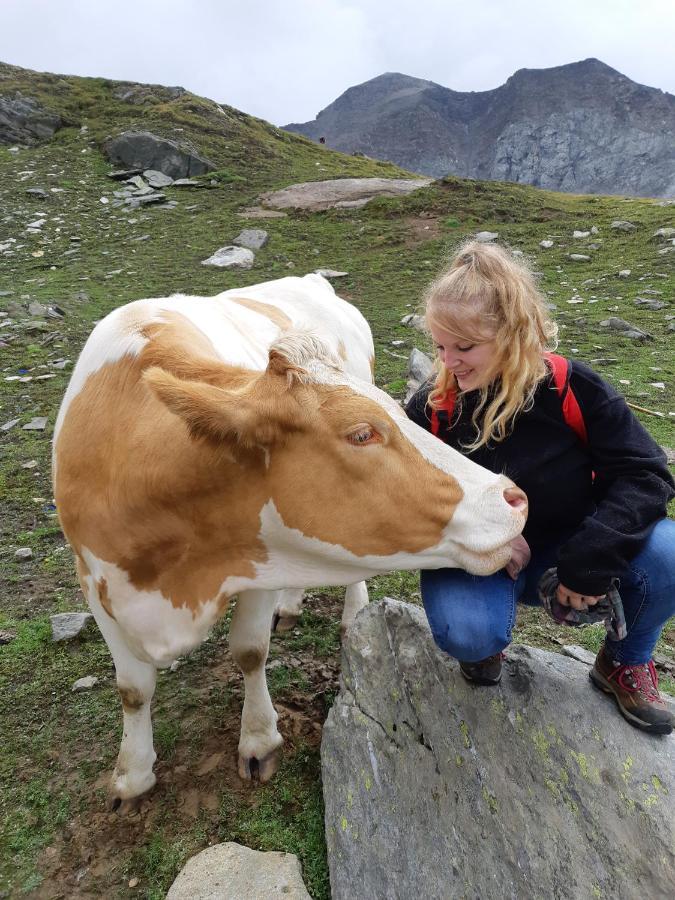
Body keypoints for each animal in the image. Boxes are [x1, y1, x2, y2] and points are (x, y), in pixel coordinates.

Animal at [52, 270, 528, 804]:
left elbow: (249, 651)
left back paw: (351, 611)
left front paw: (258, 740)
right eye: (362, 434)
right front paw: (132, 774)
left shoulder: (260, 561)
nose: (512, 497)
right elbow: (132, 688)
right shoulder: (93, 578)